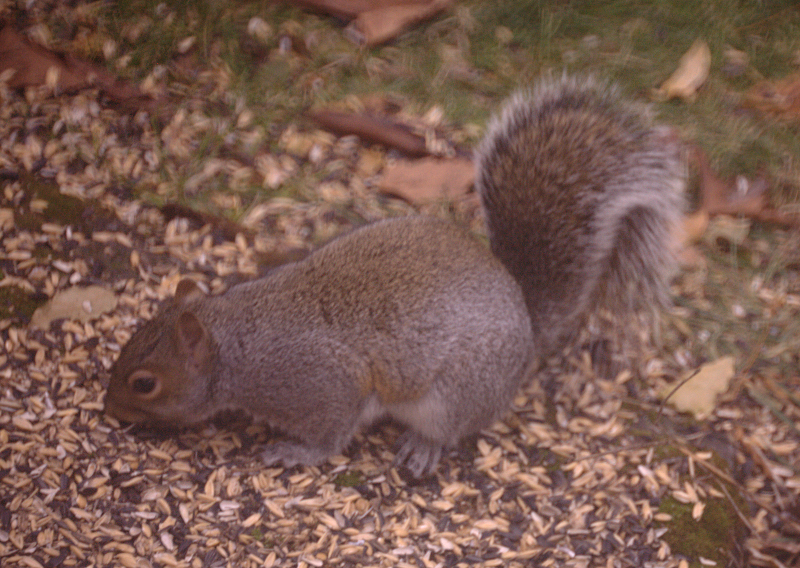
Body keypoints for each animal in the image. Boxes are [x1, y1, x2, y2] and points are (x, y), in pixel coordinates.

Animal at [105, 76, 685, 478]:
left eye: (144, 383)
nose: (108, 410)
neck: (237, 344)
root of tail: (523, 312)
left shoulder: (320, 384)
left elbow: (330, 434)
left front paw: (293, 452)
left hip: (457, 391)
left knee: (452, 427)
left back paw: (424, 446)